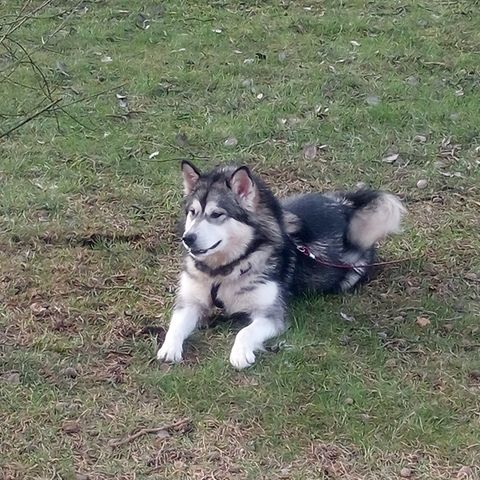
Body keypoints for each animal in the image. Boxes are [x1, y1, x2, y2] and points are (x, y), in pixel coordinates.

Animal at [158, 161, 404, 368]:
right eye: (193, 213)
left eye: (217, 214)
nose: (188, 238)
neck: (222, 270)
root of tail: (344, 207)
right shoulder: (190, 302)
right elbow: (176, 324)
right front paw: (169, 347)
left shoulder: (270, 314)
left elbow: (244, 332)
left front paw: (240, 353)